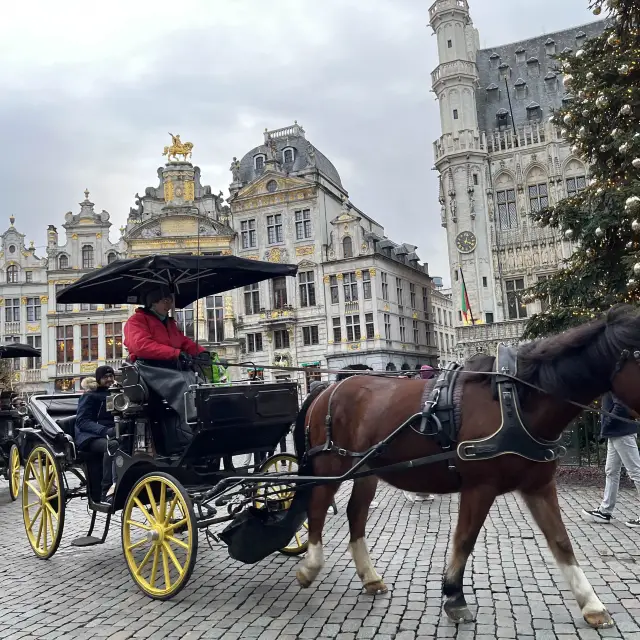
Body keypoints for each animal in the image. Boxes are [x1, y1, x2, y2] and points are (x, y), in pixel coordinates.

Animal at [294, 304, 640, 632]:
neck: (514, 401)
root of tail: (327, 389)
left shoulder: (538, 486)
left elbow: (561, 542)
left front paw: (592, 604)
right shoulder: (479, 487)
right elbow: (464, 539)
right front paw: (454, 597)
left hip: (366, 472)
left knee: (356, 513)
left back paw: (369, 576)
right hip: (331, 465)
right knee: (317, 506)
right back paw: (310, 566)